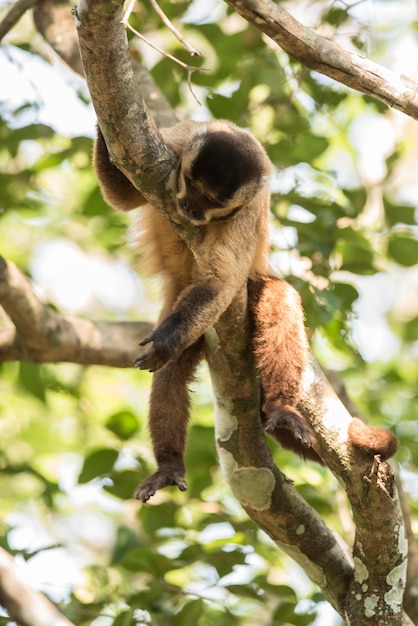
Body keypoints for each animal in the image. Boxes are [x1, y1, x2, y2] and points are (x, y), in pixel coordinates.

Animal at [94, 118, 398, 502]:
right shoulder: (173, 145)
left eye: (211, 200)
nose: (191, 208)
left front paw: (166, 338)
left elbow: (221, 282)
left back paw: (281, 408)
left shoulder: (248, 208)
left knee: (279, 301)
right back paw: (169, 465)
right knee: (172, 370)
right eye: (192, 186)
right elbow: (120, 196)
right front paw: (100, 128)